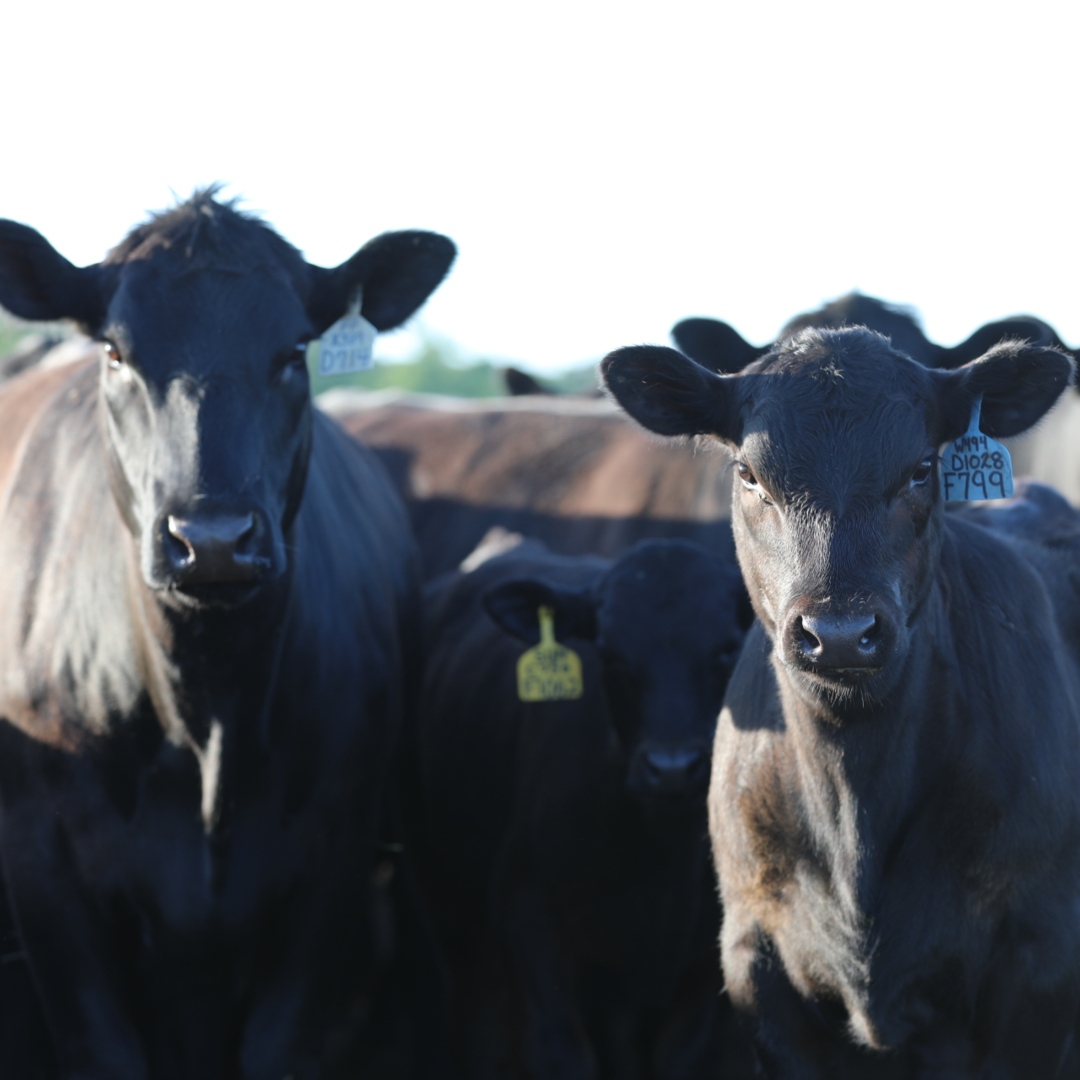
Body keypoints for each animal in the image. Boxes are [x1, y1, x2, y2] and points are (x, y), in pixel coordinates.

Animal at [0, 189, 454, 1079]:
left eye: (293, 352)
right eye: (115, 351)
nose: (210, 538)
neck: (205, 717)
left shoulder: (330, 868)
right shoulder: (47, 880)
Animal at [413, 534, 756, 1079]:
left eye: (725, 648)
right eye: (610, 655)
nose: (672, 767)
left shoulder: (709, 961)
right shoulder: (528, 917)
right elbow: (560, 1051)